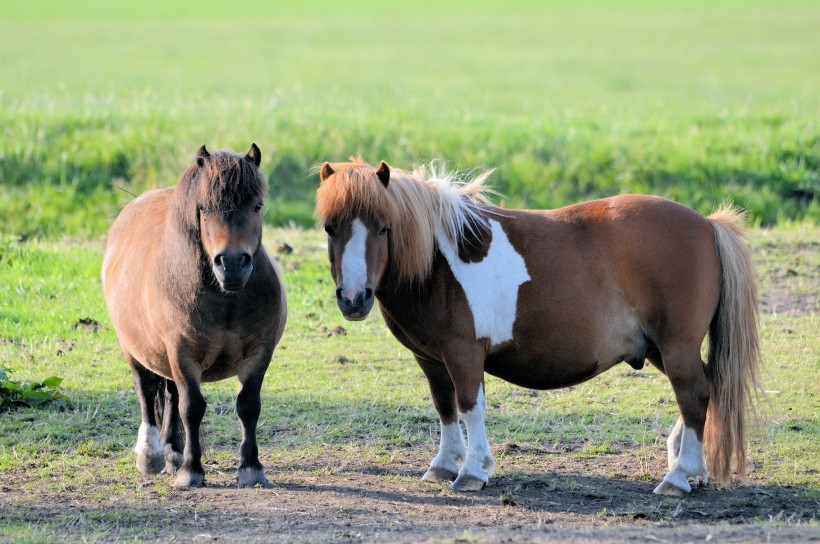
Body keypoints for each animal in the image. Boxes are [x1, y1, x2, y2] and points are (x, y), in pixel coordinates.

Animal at [104, 142, 286, 486]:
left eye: (257, 206)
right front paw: (192, 471)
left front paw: (251, 467)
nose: (231, 263)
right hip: (133, 348)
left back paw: (174, 453)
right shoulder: (182, 353)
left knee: (170, 395)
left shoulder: (260, 352)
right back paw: (152, 455)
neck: (225, 300)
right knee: (146, 391)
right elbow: (192, 408)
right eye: (204, 208)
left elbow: (248, 405)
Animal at [316, 159, 764, 496]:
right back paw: (689, 466)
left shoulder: (463, 352)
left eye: (384, 227)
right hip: (658, 348)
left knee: (694, 394)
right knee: (706, 389)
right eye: (329, 228)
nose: (353, 298)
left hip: (675, 345)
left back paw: (678, 476)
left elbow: (470, 406)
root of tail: (706, 224)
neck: (437, 261)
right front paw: (443, 466)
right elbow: (445, 407)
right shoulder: (431, 358)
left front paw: (473, 471)